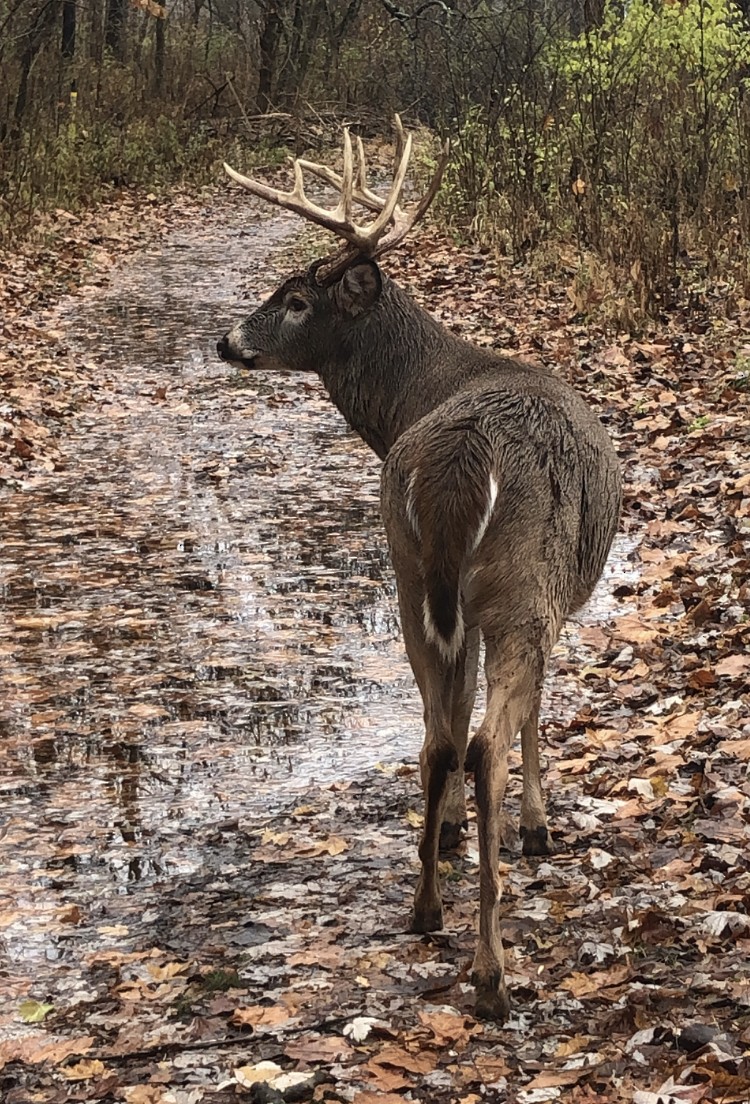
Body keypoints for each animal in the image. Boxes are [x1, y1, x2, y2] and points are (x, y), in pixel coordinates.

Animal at [217, 118, 622, 1021]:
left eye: (297, 299)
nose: (225, 340)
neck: (419, 390)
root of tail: (461, 457)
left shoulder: (449, 605)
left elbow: (453, 714)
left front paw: (450, 832)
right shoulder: (541, 604)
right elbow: (534, 712)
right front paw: (536, 827)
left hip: (408, 573)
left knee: (439, 737)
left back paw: (426, 908)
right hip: (518, 581)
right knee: (483, 744)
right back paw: (491, 970)